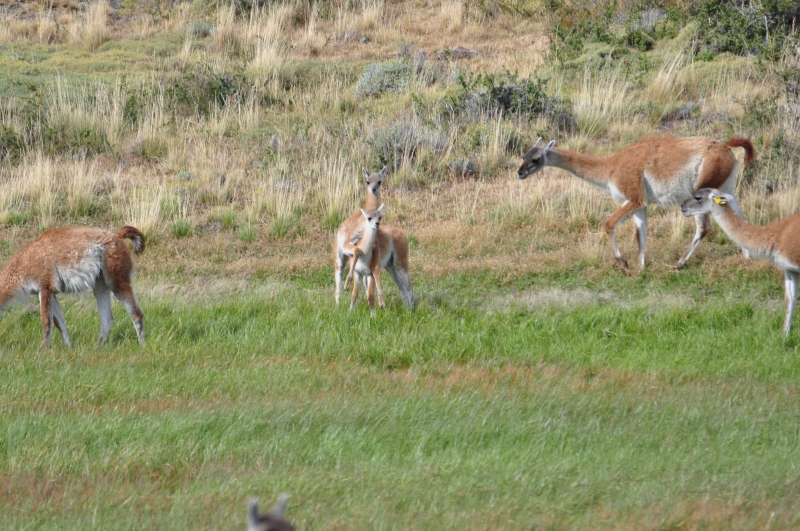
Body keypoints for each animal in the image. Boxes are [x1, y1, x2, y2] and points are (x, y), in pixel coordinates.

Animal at [0, 226, 146, 347]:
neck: (22, 265)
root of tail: (116, 235)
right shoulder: (51, 292)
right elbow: (60, 323)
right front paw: (68, 349)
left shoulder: (45, 286)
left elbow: (46, 323)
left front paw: (43, 350)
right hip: (100, 284)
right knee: (108, 320)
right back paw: (97, 348)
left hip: (116, 279)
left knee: (136, 314)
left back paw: (142, 347)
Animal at [334, 166, 386, 305]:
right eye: (367, 181)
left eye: (379, 181)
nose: (373, 189)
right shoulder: (349, 243)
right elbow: (357, 251)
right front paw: (347, 284)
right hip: (339, 258)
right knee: (338, 280)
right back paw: (338, 303)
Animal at [517, 135, 755, 270]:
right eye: (524, 155)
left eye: (536, 158)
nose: (520, 173)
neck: (611, 166)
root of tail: (725, 146)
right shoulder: (641, 203)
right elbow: (641, 235)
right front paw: (641, 268)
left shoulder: (633, 196)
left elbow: (608, 224)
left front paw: (623, 263)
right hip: (727, 188)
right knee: (740, 219)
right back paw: (748, 259)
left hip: (703, 190)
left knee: (704, 227)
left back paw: (679, 263)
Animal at [681, 188, 800, 336]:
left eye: (697, 197)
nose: (682, 206)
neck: (779, 234)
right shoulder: (789, 268)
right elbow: (790, 300)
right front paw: (784, 335)